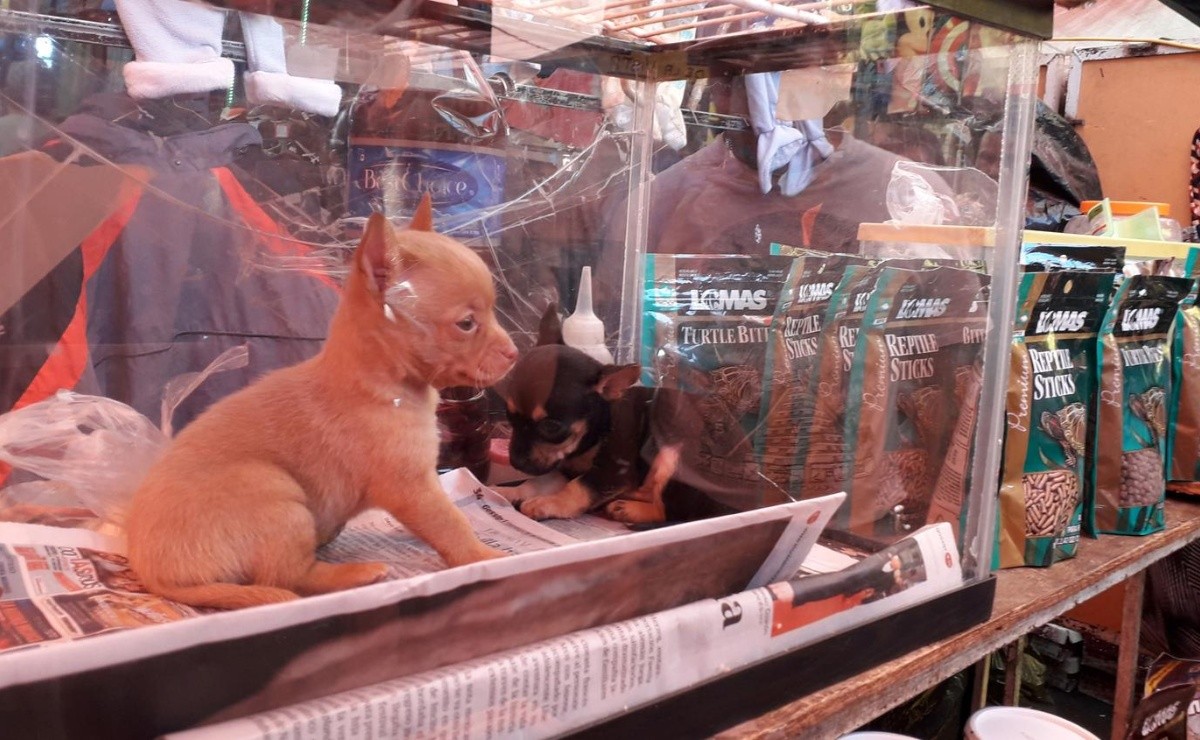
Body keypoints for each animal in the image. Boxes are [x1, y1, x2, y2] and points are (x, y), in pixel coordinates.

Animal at [129, 196, 518, 606]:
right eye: (466, 324)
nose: (515, 353)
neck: (385, 386)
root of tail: (153, 575)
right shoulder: (412, 488)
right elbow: (451, 524)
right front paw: (484, 556)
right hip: (277, 494)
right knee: (290, 578)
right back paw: (355, 573)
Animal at [496, 303, 729, 522]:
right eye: (508, 416)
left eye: (551, 427)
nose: (515, 462)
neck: (597, 433)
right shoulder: (563, 469)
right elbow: (536, 482)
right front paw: (507, 492)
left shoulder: (612, 473)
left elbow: (578, 488)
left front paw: (548, 503)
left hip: (670, 456)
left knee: (671, 512)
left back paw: (629, 509)